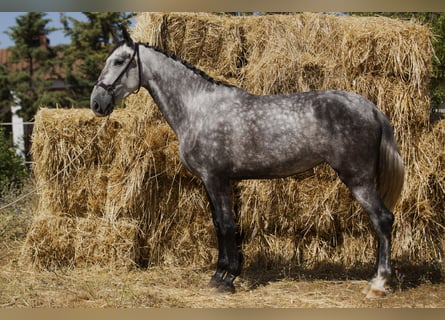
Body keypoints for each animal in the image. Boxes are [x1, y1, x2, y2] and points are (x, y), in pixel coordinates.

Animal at [89, 27, 402, 298]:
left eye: (119, 61)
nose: (96, 103)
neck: (198, 107)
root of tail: (371, 108)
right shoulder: (211, 181)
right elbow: (219, 224)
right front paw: (219, 275)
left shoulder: (216, 178)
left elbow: (227, 225)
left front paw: (228, 279)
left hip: (357, 178)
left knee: (383, 219)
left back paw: (378, 284)